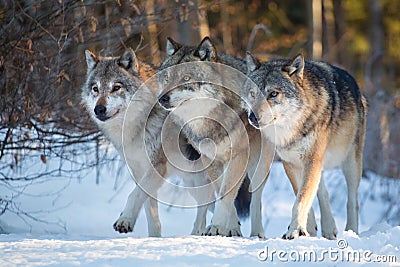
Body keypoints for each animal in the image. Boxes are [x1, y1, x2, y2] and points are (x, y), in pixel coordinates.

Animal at [80, 48, 216, 237]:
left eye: (116, 87)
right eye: (95, 88)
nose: (98, 109)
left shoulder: (157, 166)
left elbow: (134, 195)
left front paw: (125, 220)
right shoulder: (139, 170)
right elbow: (151, 213)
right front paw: (154, 239)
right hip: (192, 181)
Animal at [157, 36, 276, 238]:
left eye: (186, 78)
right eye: (166, 78)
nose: (162, 98)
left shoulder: (239, 156)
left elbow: (227, 194)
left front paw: (217, 227)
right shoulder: (210, 159)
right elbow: (222, 193)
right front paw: (229, 227)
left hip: (258, 166)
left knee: (256, 199)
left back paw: (257, 233)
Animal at [242, 52, 368, 241]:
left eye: (273, 94)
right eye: (252, 94)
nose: (252, 117)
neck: (292, 128)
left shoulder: (311, 159)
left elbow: (301, 199)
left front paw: (295, 230)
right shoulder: (291, 163)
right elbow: (301, 196)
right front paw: (305, 229)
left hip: (350, 163)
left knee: (353, 200)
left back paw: (351, 232)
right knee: (323, 192)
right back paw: (328, 229)